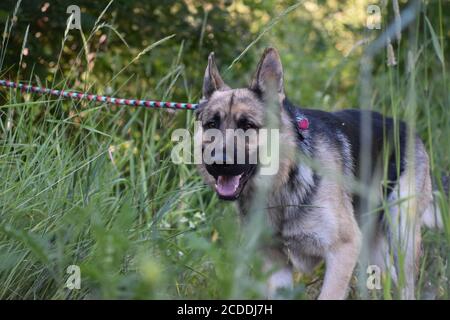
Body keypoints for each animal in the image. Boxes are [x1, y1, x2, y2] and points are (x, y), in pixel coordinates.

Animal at [194, 48, 446, 300]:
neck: (282, 185)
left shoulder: (343, 250)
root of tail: (406, 128)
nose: (218, 163)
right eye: (211, 124)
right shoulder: (276, 265)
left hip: (400, 241)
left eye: (247, 126)